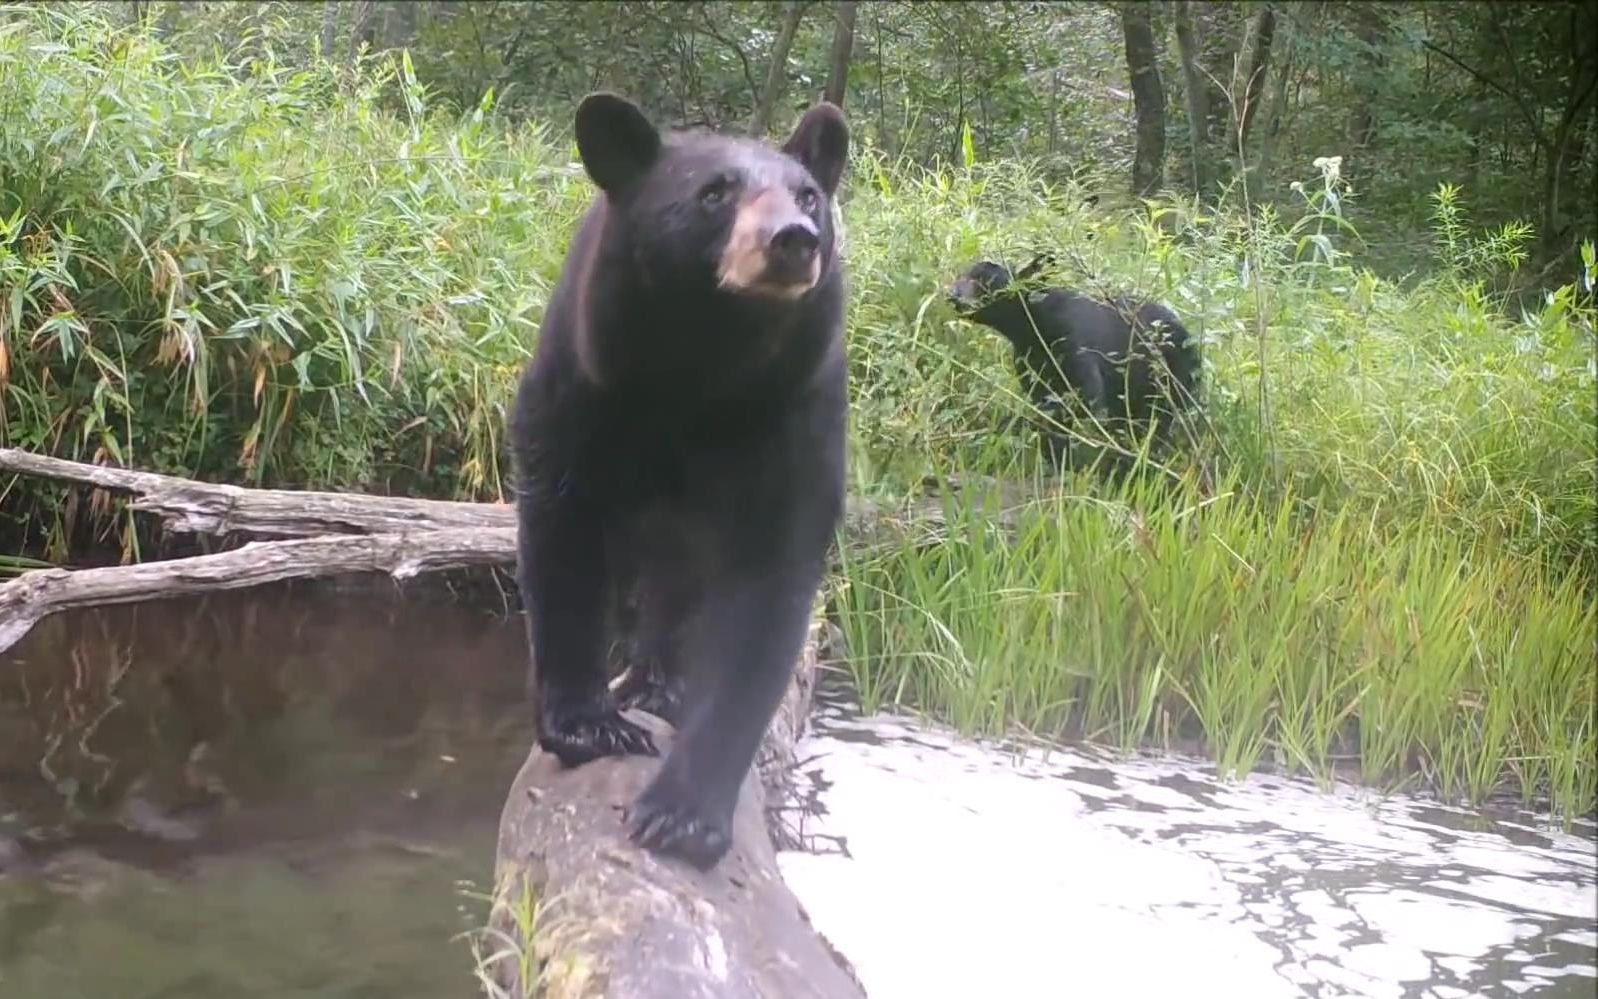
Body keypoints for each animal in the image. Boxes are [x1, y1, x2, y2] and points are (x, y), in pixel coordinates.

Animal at [508, 95, 856, 869]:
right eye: (714, 193)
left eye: (808, 196)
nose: (794, 240)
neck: (705, 368)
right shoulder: (584, 385)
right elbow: (563, 534)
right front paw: (589, 726)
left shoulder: (797, 416)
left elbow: (766, 593)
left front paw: (682, 814)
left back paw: (662, 685)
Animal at [946, 255, 1201, 476]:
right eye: (963, 272)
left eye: (985, 281)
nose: (951, 294)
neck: (1030, 331)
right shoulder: (1033, 373)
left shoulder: (1077, 357)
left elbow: (1079, 407)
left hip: (1174, 386)